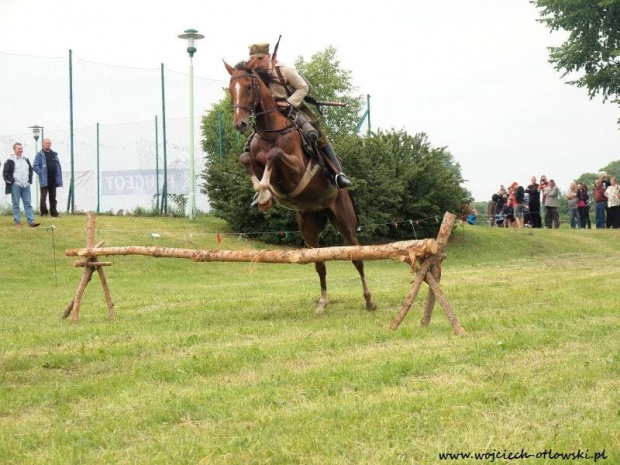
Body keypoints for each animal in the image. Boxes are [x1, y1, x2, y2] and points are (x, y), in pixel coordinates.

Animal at [224, 59, 376, 312]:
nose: (241, 124)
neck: (270, 129)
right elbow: (246, 158)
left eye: (247, 87)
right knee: (319, 262)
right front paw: (262, 196)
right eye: (230, 89)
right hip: (309, 225)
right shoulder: (254, 158)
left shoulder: (296, 169)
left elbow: (274, 154)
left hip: (344, 220)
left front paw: (265, 194)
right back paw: (322, 302)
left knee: (357, 257)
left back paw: (369, 300)